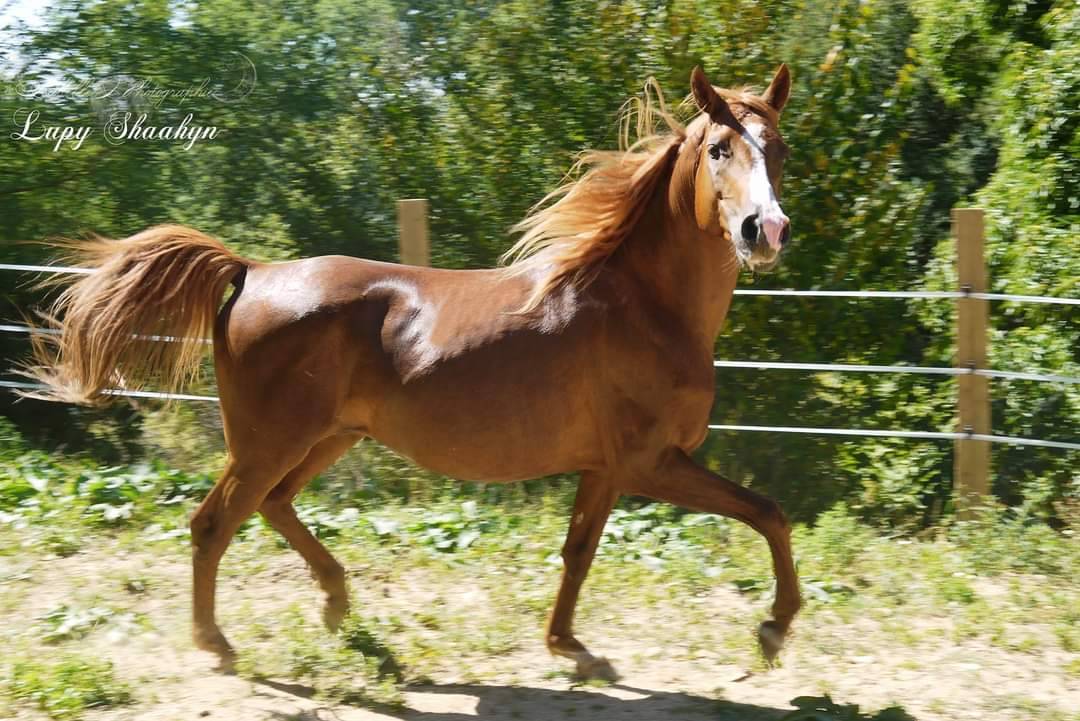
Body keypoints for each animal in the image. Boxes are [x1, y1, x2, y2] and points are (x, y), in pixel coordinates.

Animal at [24, 65, 799, 679]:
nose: (765, 230)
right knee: (214, 522)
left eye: (780, 149)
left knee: (273, 506)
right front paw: (774, 627)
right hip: (268, 443)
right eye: (720, 148)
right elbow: (769, 510)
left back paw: (337, 603)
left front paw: (569, 647)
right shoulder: (649, 462)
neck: (641, 305)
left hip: (327, 437)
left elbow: (578, 552)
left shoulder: (606, 469)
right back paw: (218, 644)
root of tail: (251, 271)